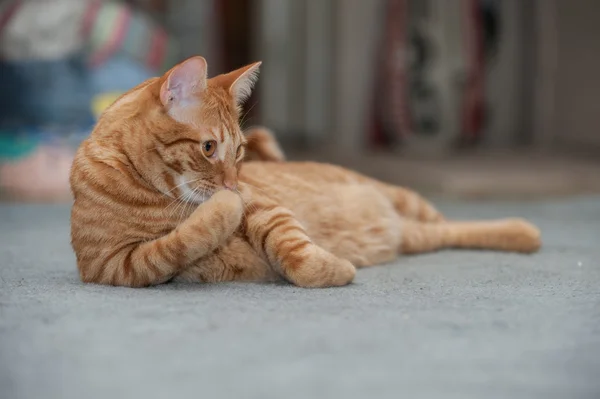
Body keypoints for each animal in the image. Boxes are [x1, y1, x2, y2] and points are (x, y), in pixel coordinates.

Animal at [68, 56, 540, 288]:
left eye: (239, 151)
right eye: (208, 148)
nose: (233, 184)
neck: (152, 192)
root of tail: (398, 229)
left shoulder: (266, 208)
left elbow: (293, 250)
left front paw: (331, 269)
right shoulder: (118, 265)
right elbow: (180, 241)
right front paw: (218, 210)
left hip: (404, 199)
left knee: (456, 222)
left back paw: (525, 231)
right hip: (416, 231)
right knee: (445, 233)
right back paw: (522, 234)